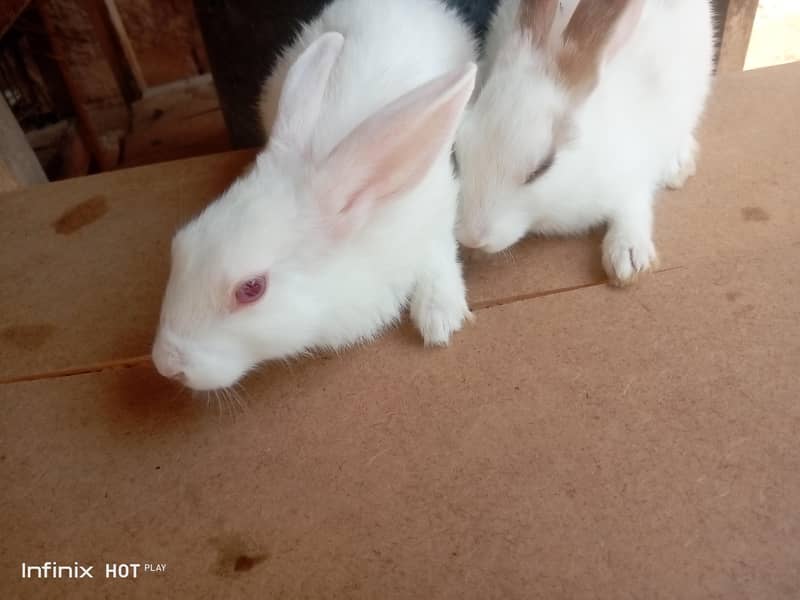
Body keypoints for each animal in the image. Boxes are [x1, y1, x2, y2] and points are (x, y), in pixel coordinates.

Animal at [152, 0, 478, 391]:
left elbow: (440, 253)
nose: (165, 365)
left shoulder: (437, 205)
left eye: (251, 289)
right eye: (180, 244)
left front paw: (439, 318)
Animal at [454, 0, 714, 285]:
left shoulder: (633, 174)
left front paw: (628, 260)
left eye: (542, 168)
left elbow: (633, 207)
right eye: (457, 152)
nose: (472, 237)